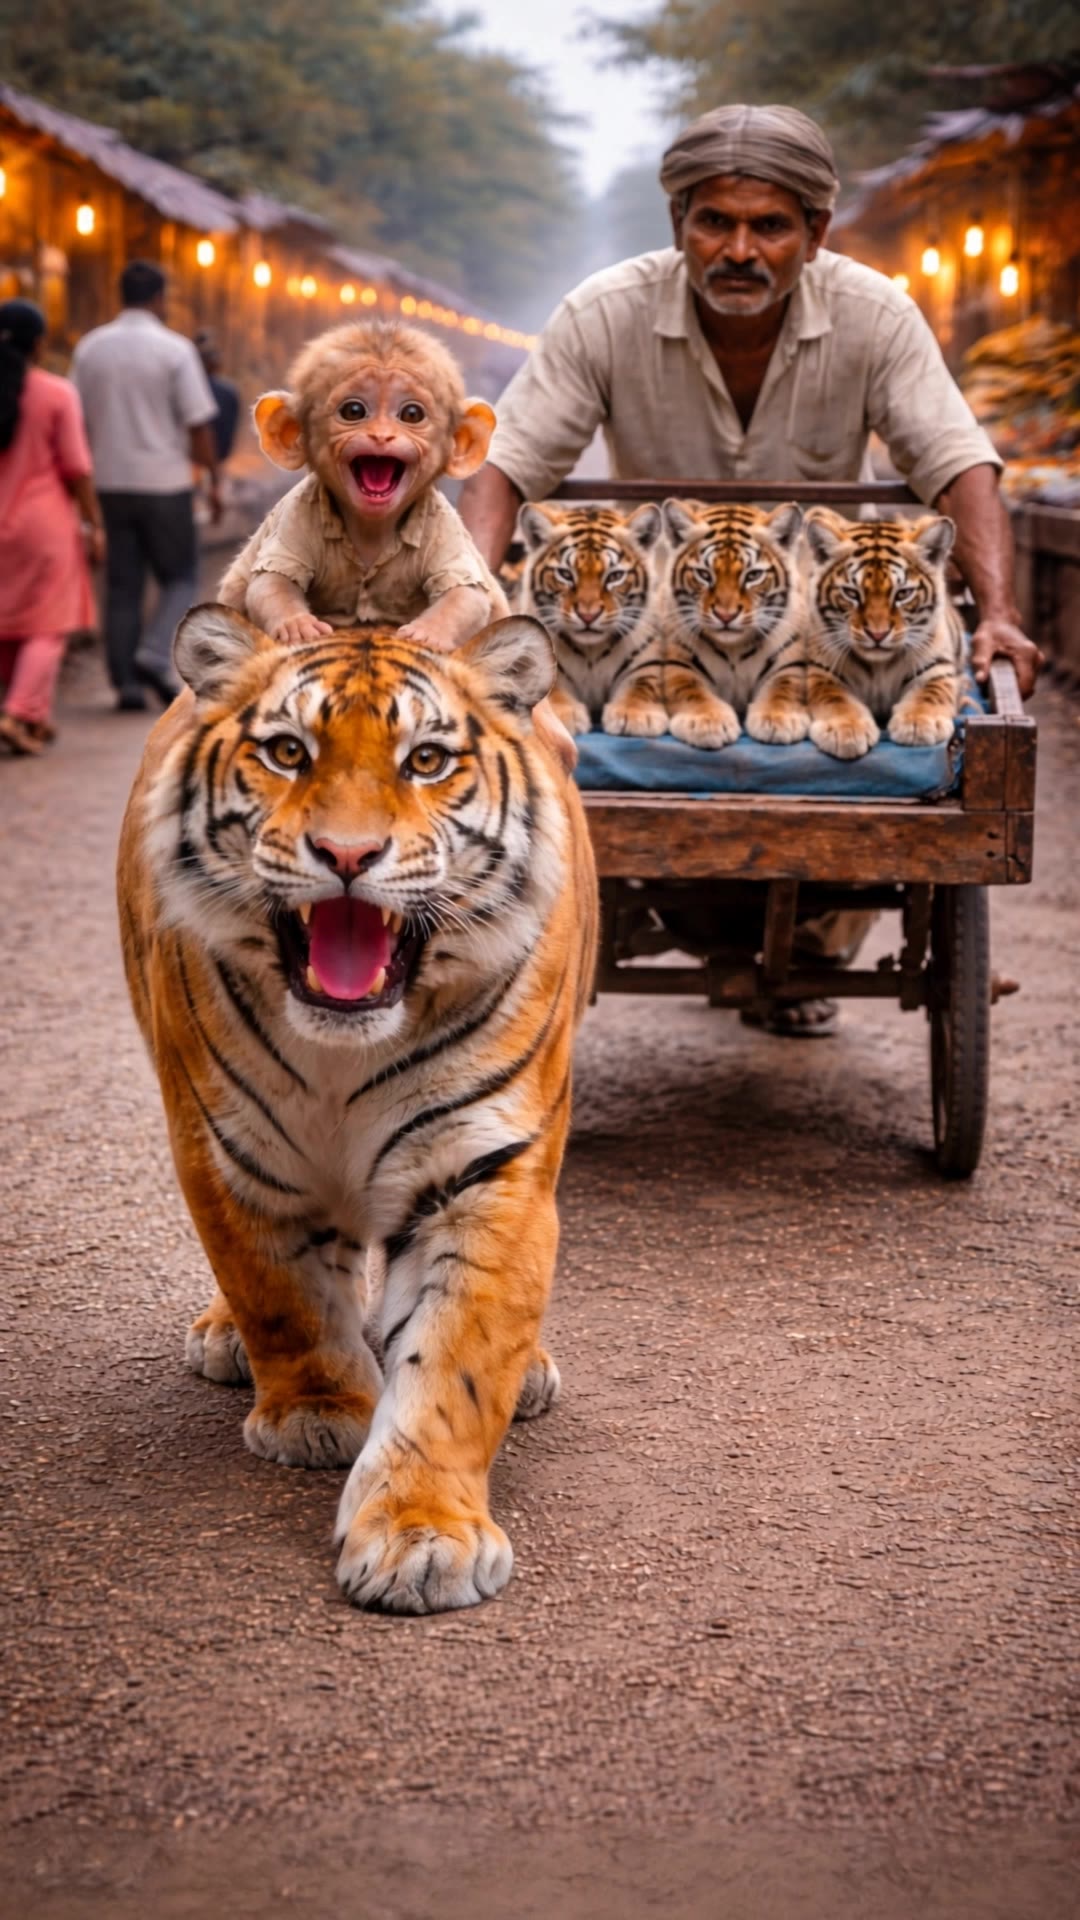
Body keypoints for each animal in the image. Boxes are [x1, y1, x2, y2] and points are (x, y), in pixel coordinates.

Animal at [116, 607, 598, 1614]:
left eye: (427, 760)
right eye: (287, 752)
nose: (346, 857)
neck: (346, 1047)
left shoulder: (483, 1175)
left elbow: (455, 1364)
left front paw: (422, 1535)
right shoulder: (228, 1154)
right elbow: (286, 1299)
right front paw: (320, 1413)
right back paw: (230, 1341)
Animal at [516, 501, 665, 737]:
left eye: (615, 576)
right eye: (565, 574)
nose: (588, 615)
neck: (591, 652)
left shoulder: (645, 662)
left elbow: (642, 685)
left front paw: (635, 715)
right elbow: (551, 691)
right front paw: (564, 715)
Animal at [655, 500, 808, 748]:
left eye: (753, 575)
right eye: (704, 574)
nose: (725, 616)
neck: (734, 648)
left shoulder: (788, 663)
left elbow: (783, 687)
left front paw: (778, 720)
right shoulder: (678, 664)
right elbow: (691, 690)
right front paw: (708, 723)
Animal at [802, 510, 964, 760]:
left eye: (903, 594)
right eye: (851, 593)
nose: (877, 635)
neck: (878, 667)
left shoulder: (937, 668)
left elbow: (930, 693)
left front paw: (918, 724)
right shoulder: (823, 671)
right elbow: (834, 697)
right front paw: (846, 731)